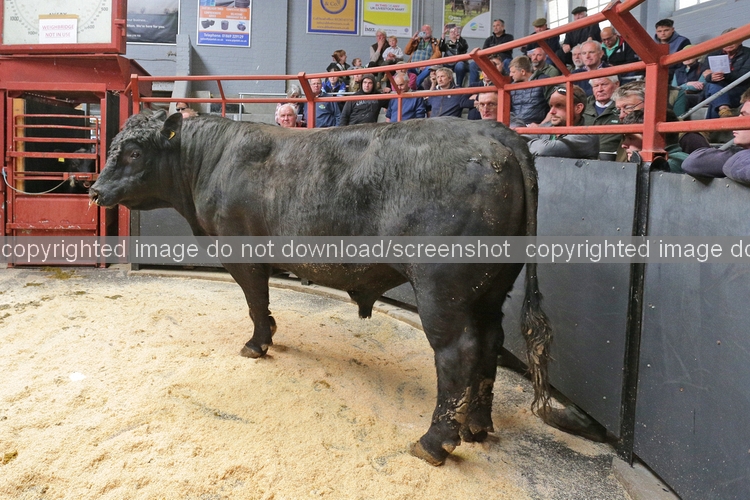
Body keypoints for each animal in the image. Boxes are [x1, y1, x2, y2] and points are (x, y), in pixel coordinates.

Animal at [90, 111, 571, 465]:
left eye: (133, 152)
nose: (94, 191)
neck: (213, 158)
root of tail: (490, 130)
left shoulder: (243, 255)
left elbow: (254, 302)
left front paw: (257, 344)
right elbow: (262, 303)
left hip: (442, 289)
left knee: (458, 353)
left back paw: (434, 441)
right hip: (492, 288)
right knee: (489, 342)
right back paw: (476, 425)